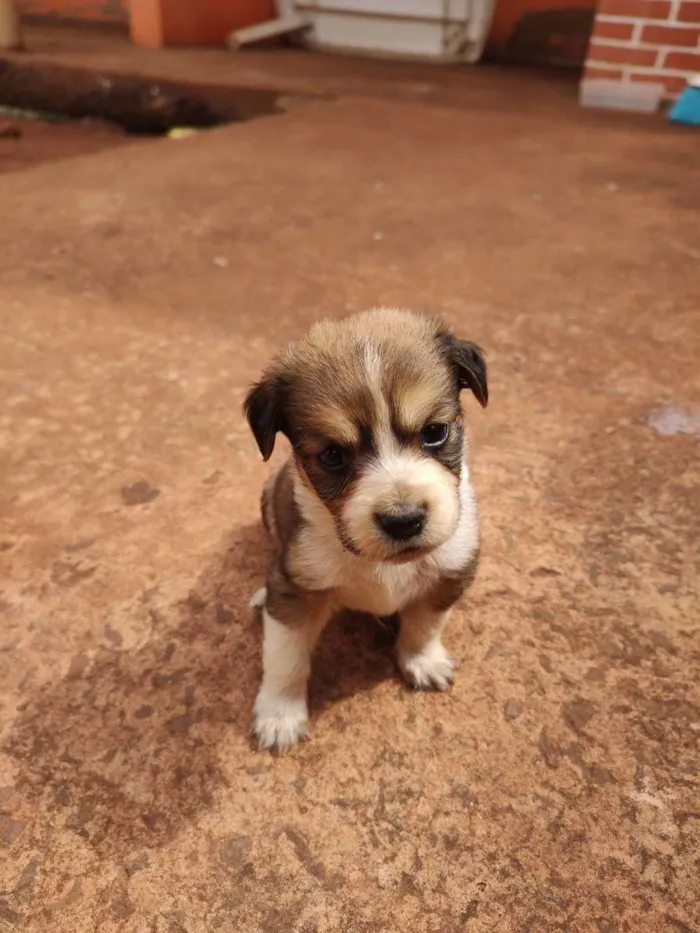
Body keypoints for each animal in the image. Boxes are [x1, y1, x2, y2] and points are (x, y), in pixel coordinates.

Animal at [245, 308, 486, 748]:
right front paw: (279, 714)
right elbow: (285, 658)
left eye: (434, 432)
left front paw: (422, 660)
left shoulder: (452, 569)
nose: (404, 520)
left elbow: (425, 624)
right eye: (332, 455)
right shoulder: (297, 589)